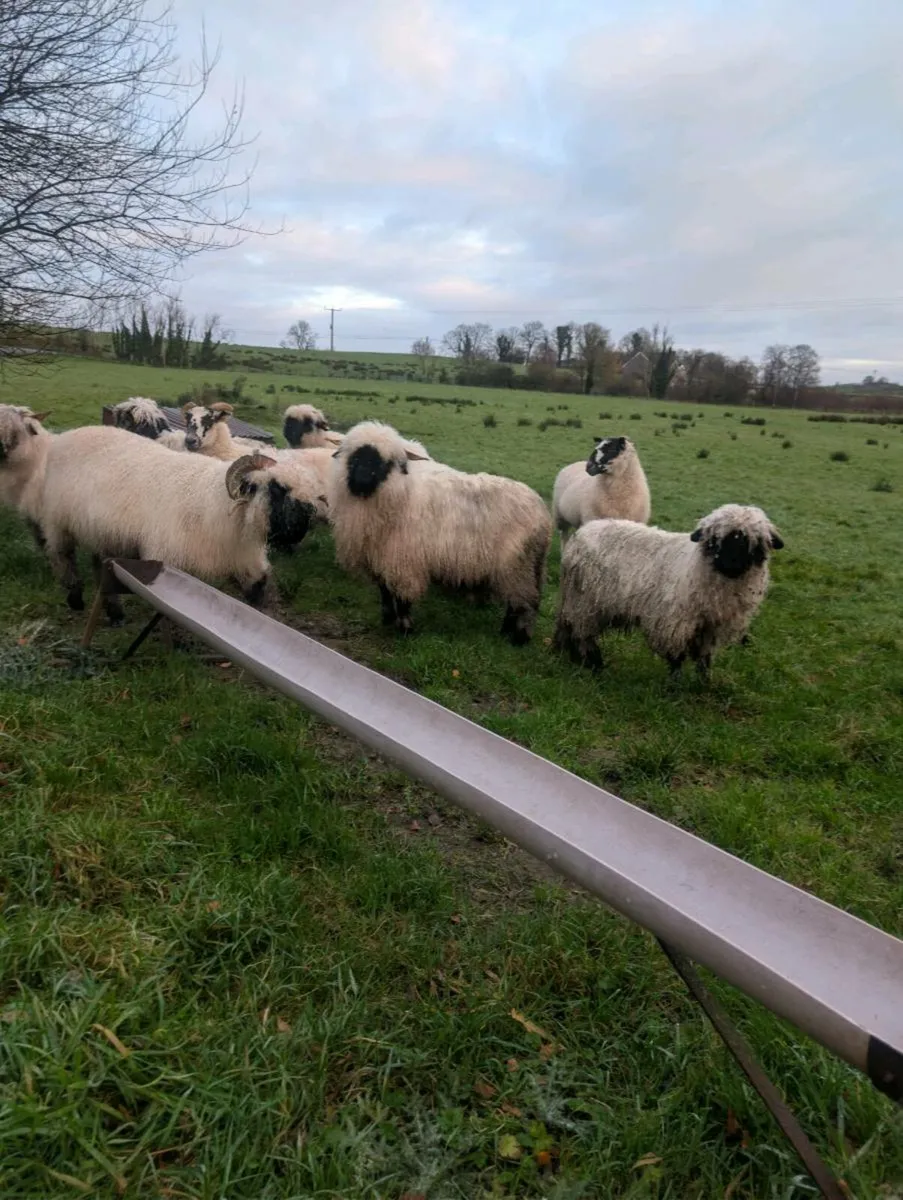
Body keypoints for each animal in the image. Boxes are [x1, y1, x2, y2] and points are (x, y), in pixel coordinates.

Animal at [32, 425, 318, 622]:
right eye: (278, 488)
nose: (303, 527)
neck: (220, 507)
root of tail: (64, 436)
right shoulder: (168, 561)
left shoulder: (247, 560)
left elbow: (259, 592)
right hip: (58, 523)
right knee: (63, 557)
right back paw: (75, 599)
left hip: (102, 532)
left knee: (98, 565)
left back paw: (115, 614)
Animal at [329, 420, 552, 644]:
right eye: (355, 456)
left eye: (387, 462)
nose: (362, 479)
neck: (401, 492)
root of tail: (542, 511)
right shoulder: (379, 557)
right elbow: (385, 592)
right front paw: (387, 618)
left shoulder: (404, 560)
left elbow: (402, 597)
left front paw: (405, 628)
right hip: (523, 566)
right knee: (517, 601)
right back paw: (505, 631)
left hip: (518, 565)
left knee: (525, 601)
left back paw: (519, 639)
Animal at [553, 504, 784, 678]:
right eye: (714, 541)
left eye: (754, 543)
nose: (731, 564)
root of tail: (580, 534)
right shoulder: (675, 621)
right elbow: (677, 657)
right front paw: (675, 686)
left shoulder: (711, 627)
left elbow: (705, 658)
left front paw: (704, 684)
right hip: (585, 603)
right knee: (583, 635)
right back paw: (595, 665)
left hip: (580, 601)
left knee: (570, 628)